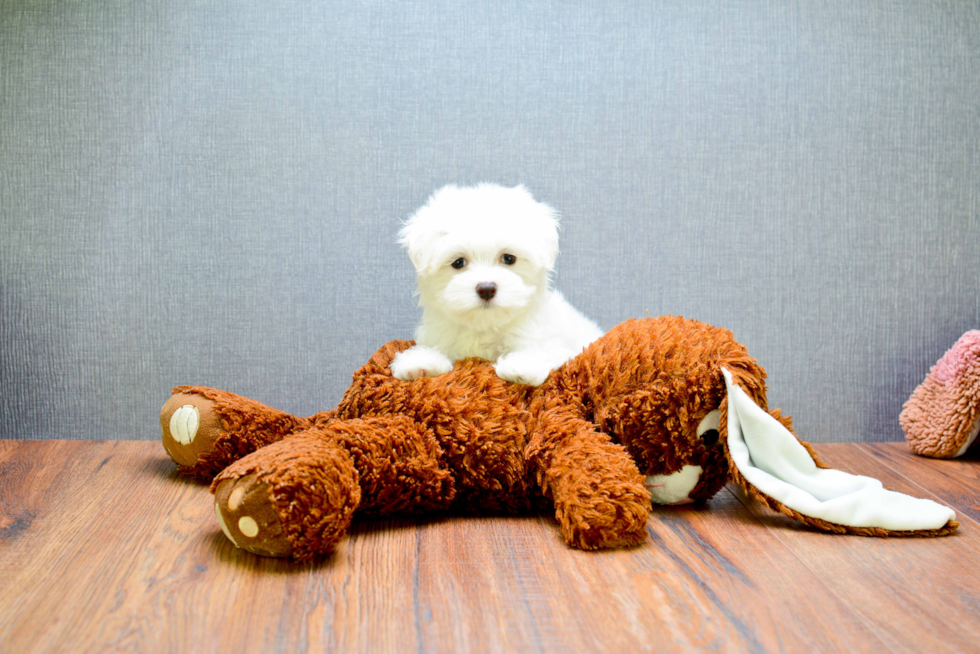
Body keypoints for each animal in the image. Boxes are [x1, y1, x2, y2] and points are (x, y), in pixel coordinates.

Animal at [390, 184, 604, 386]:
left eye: (508, 258)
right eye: (458, 262)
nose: (486, 288)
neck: (485, 327)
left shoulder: (558, 344)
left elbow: (545, 350)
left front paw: (522, 366)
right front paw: (420, 361)